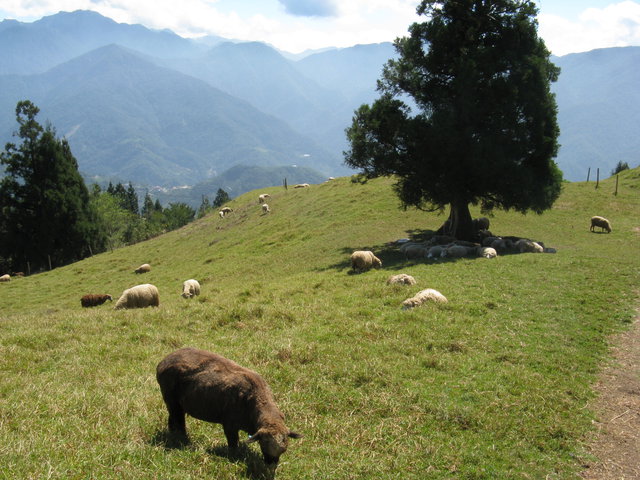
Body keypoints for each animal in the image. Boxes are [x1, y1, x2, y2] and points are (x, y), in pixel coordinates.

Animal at [158, 346, 302, 470]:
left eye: (283, 449)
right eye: (264, 444)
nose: (271, 465)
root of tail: (165, 359)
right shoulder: (229, 425)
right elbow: (233, 444)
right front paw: (234, 457)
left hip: (176, 403)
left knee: (173, 418)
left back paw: (173, 434)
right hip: (171, 399)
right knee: (178, 420)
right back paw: (182, 439)